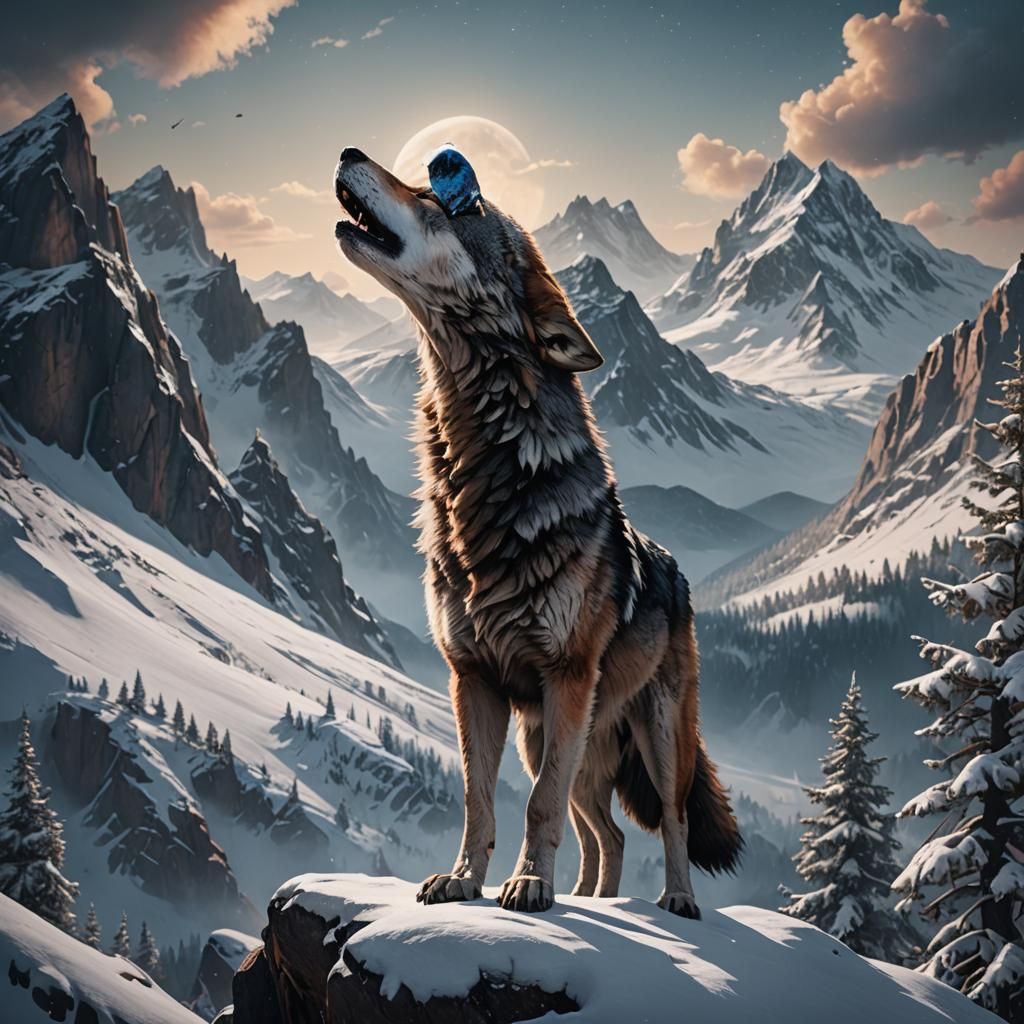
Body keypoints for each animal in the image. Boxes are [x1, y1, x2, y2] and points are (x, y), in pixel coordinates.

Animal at [333, 145, 741, 917]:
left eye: (439, 199)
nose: (348, 152)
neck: (490, 478)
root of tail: (679, 574)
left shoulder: (565, 677)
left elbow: (537, 807)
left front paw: (525, 887)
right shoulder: (473, 680)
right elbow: (479, 800)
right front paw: (465, 880)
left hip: (652, 737)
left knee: (668, 821)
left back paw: (673, 901)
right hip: (554, 739)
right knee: (607, 835)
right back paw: (590, 896)